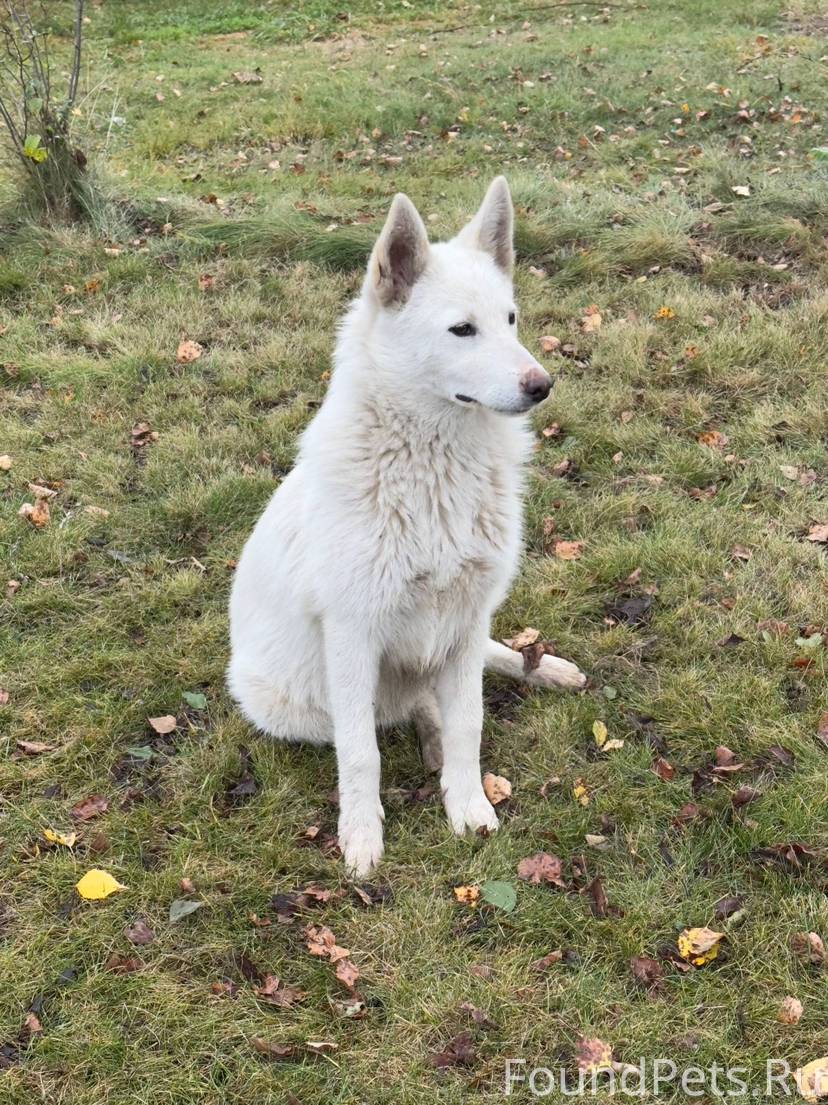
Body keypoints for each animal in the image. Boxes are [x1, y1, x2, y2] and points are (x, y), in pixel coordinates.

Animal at [228, 177, 586, 876]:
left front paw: (468, 804)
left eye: (510, 320)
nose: (543, 385)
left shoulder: (468, 617)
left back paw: (541, 671)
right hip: (292, 702)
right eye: (461, 330)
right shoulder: (353, 634)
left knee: (479, 669)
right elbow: (360, 752)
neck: (434, 468)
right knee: (393, 712)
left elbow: (471, 723)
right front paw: (363, 837)